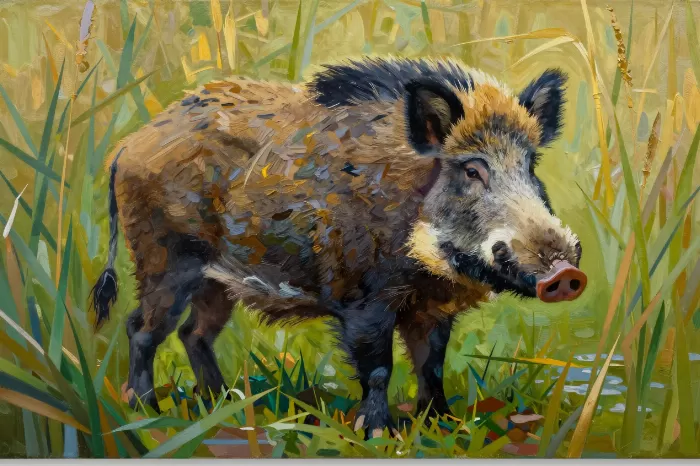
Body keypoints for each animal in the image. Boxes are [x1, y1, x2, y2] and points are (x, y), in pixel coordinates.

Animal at [90, 57, 587, 438]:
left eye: (531, 165)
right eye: (471, 170)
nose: (565, 273)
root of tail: (126, 147)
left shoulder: (430, 308)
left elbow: (432, 365)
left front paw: (444, 426)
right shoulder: (363, 301)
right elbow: (379, 369)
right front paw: (378, 434)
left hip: (217, 283)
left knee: (194, 334)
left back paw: (221, 402)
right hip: (164, 261)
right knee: (141, 329)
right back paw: (147, 411)